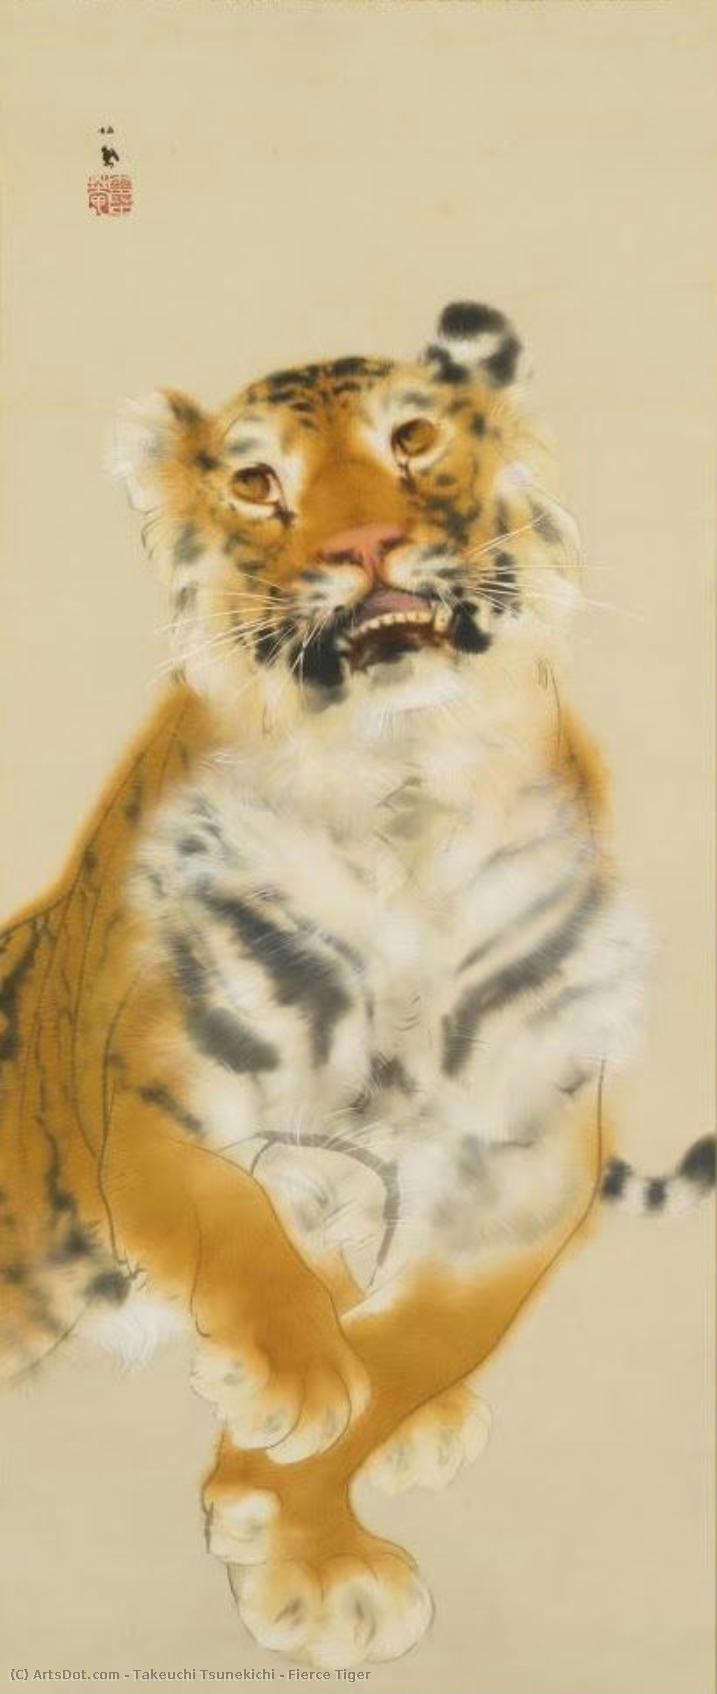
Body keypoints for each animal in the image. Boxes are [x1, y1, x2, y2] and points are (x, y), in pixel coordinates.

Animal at [1, 300, 714, 1670]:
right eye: (256, 483)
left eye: (415, 439)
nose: (364, 546)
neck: (406, 788)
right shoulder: (146, 1093)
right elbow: (234, 1219)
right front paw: (288, 1387)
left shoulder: (525, 1169)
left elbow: (416, 1347)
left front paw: (290, 1524)